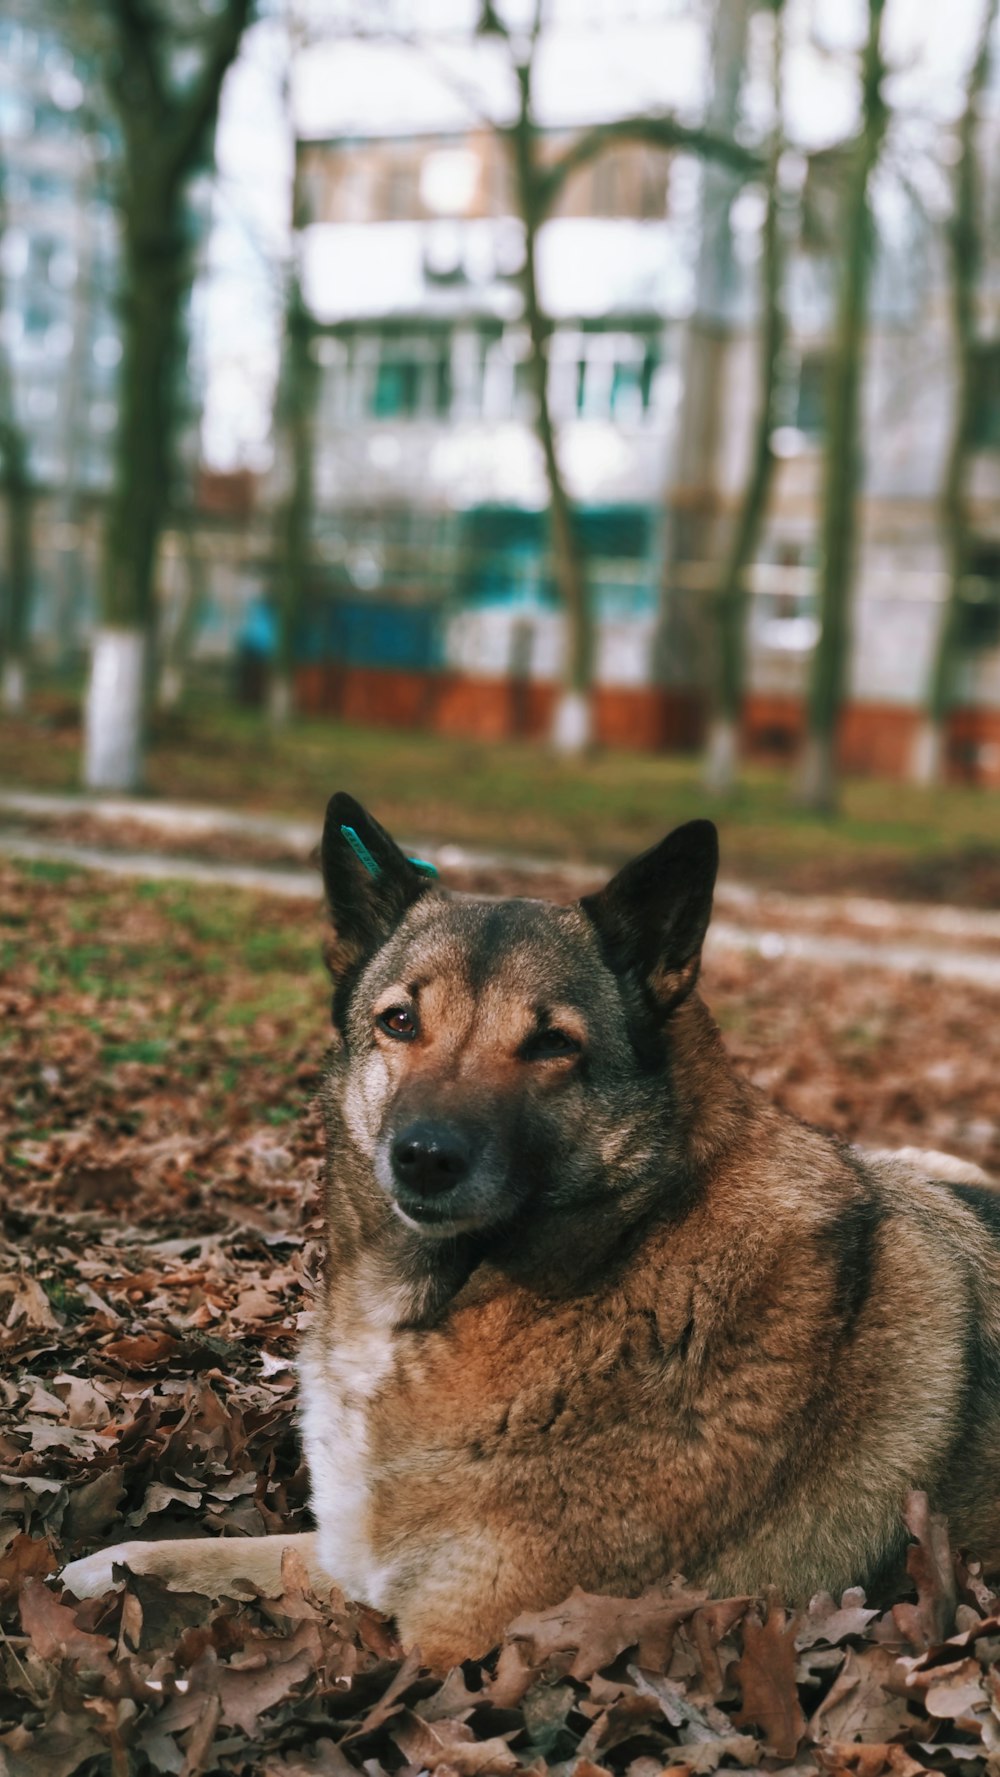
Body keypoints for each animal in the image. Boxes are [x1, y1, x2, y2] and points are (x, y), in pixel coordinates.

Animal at [60, 799, 1000, 1670]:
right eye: (399, 1022)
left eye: (552, 1043)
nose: (425, 1158)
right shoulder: (354, 1552)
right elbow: (222, 1556)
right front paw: (106, 1565)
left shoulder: (447, 1628)